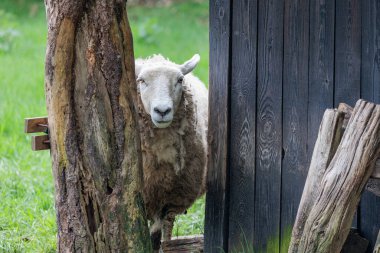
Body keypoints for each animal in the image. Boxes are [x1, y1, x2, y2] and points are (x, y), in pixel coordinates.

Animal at [135, 53, 208, 251]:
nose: (162, 111)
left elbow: (157, 235)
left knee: (168, 226)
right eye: (141, 80)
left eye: (180, 80)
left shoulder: (171, 198)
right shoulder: (146, 196)